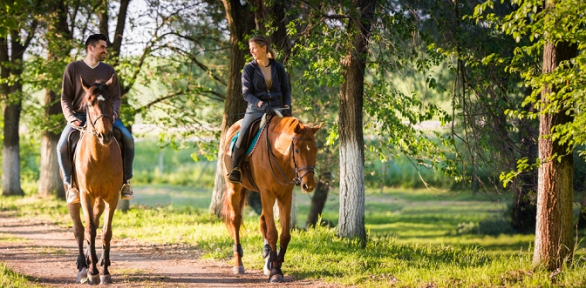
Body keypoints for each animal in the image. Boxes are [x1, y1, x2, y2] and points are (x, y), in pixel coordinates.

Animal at [67, 75, 123, 284]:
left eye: (110, 102)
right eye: (89, 104)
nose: (104, 134)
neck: (98, 157)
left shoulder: (112, 197)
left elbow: (106, 231)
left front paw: (105, 272)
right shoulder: (85, 195)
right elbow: (89, 229)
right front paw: (92, 272)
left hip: (99, 200)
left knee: (97, 224)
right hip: (74, 197)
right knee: (79, 229)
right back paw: (83, 267)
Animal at [220, 115, 320, 282]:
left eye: (315, 150)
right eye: (297, 150)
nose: (309, 185)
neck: (279, 156)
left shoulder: (284, 196)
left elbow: (284, 234)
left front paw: (275, 262)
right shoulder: (267, 194)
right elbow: (273, 233)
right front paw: (275, 272)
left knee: (262, 222)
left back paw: (267, 259)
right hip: (235, 188)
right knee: (236, 221)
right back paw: (239, 264)